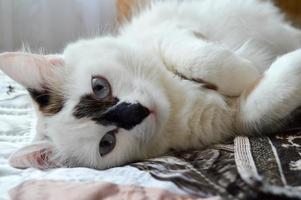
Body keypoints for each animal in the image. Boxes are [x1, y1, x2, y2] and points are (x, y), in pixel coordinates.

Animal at [0, 0, 300, 170]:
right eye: (106, 143)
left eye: (99, 86)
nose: (135, 111)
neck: (177, 98)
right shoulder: (239, 118)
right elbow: (266, 98)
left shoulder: (171, 33)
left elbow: (203, 59)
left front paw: (245, 71)